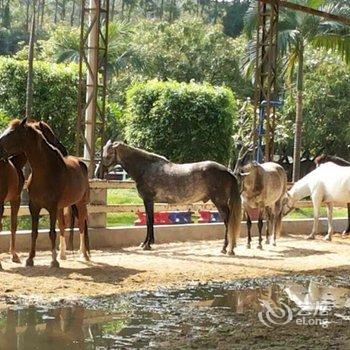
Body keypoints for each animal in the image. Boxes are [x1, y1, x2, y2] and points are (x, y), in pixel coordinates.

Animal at [0, 118, 90, 268]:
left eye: (11, 133)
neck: (45, 172)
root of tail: (81, 163)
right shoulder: (34, 207)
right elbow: (34, 233)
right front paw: (30, 259)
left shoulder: (52, 208)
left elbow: (52, 233)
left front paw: (53, 261)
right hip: (62, 207)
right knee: (63, 226)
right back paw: (64, 254)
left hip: (80, 204)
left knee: (82, 226)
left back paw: (84, 255)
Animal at [99, 140, 241, 254]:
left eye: (108, 154)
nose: (98, 174)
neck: (145, 168)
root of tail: (227, 170)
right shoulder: (150, 202)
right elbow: (149, 221)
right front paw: (146, 243)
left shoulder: (148, 200)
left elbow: (149, 221)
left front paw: (147, 244)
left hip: (220, 202)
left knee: (227, 221)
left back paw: (225, 248)